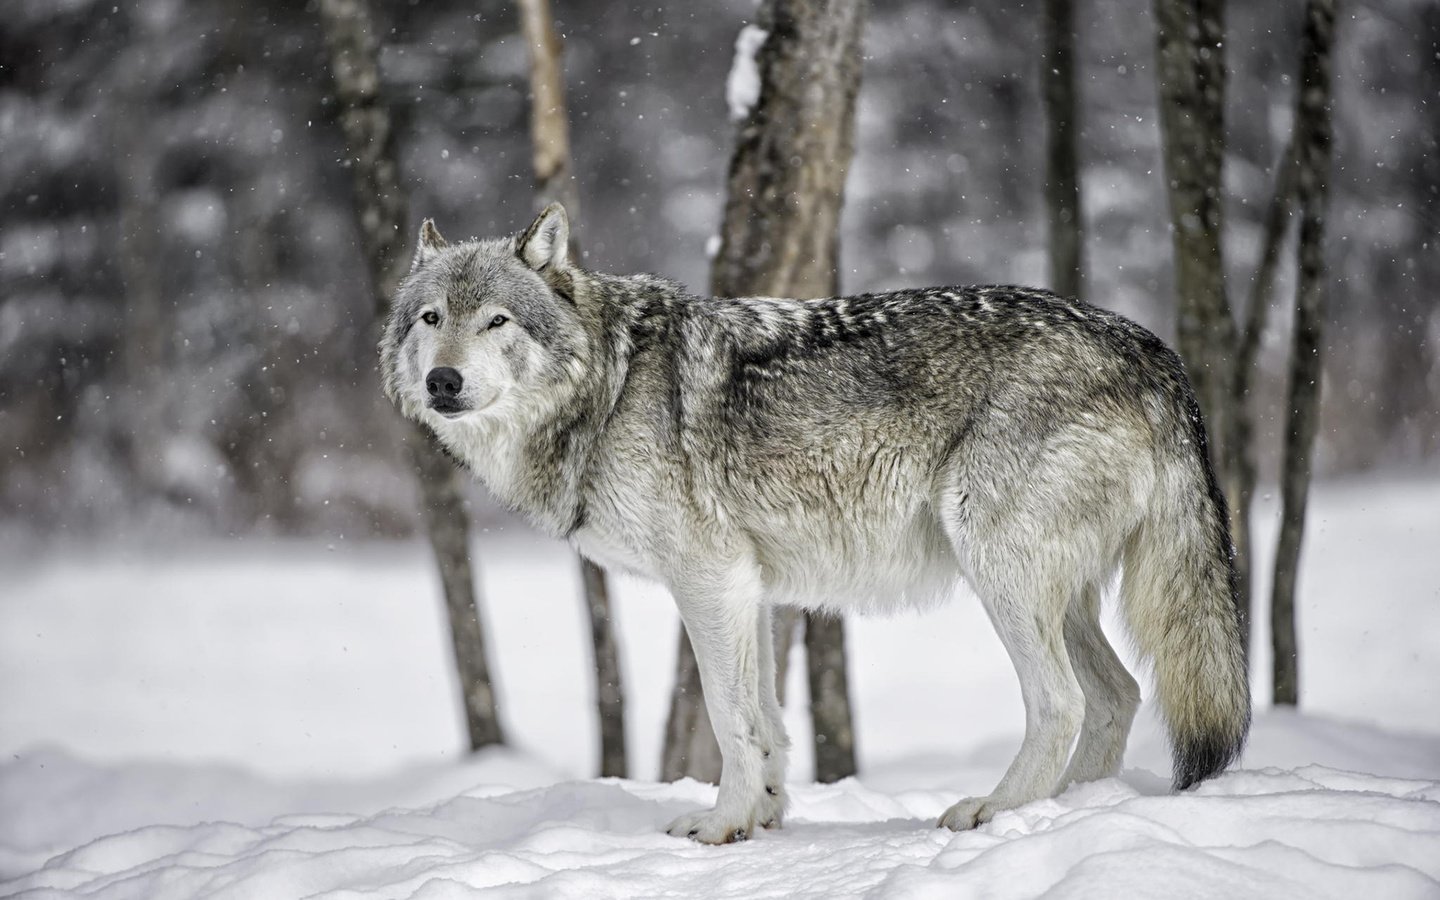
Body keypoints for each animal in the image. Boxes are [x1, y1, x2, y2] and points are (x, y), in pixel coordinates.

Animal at [380, 203, 1249, 840]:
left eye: (496, 321)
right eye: (431, 318)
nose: (443, 382)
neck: (610, 385)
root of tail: (1154, 351)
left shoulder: (708, 582)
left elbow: (730, 719)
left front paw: (720, 827)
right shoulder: (750, 591)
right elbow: (766, 722)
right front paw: (761, 819)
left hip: (1000, 572)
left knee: (1063, 702)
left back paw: (996, 813)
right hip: (1055, 594)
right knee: (1119, 695)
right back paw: (1071, 811)